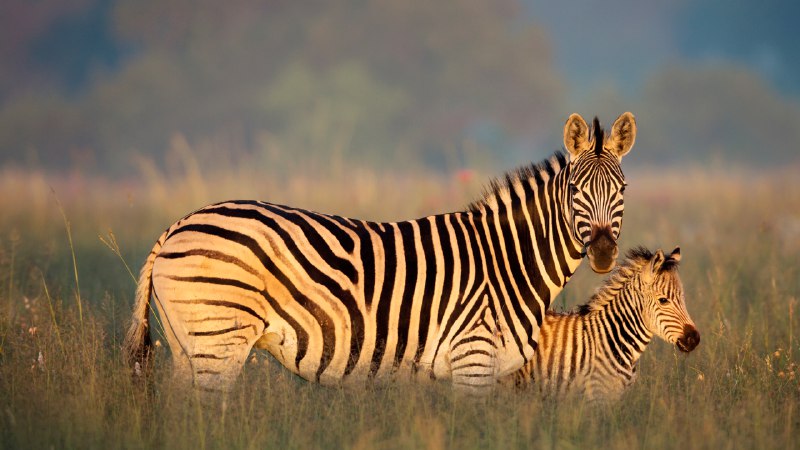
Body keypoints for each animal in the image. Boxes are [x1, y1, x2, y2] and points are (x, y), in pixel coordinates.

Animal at [123, 112, 637, 395]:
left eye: (622, 190)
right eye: (575, 191)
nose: (604, 253)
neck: (507, 261)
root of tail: (177, 224)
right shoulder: (473, 360)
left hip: (186, 346)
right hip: (218, 339)